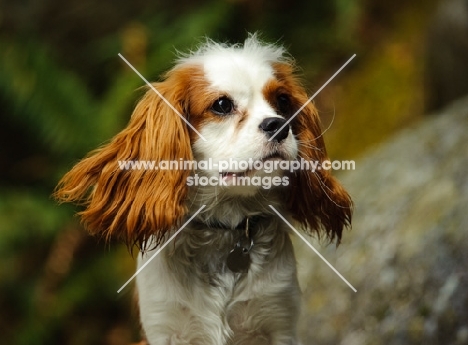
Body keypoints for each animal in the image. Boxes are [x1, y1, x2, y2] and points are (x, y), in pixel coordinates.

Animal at [54, 33, 352, 344]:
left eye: (282, 100)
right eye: (222, 105)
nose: (279, 125)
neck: (225, 229)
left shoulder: (280, 320)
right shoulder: (162, 327)